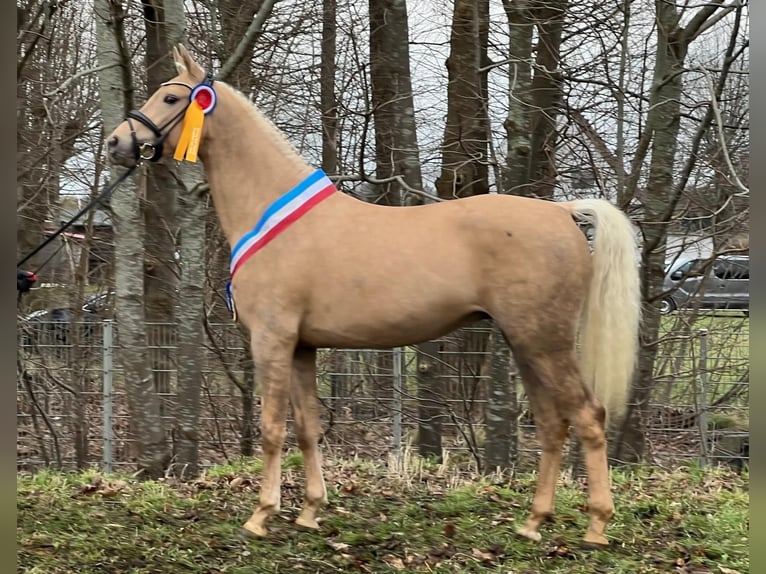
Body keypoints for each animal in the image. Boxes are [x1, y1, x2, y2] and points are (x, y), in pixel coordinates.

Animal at [106, 45, 640, 548]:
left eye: (171, 98)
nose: (116, 142)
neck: (272, 214)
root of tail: (563, 213)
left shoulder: (272, 340)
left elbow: (272, 428)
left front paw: (261, 515)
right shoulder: (302, 347)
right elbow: (307, 427)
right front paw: (310, 511)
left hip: (544, 342)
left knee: (588, 416)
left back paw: (596, 526)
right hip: (525, 343)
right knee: (553, 423)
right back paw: (532, 523)